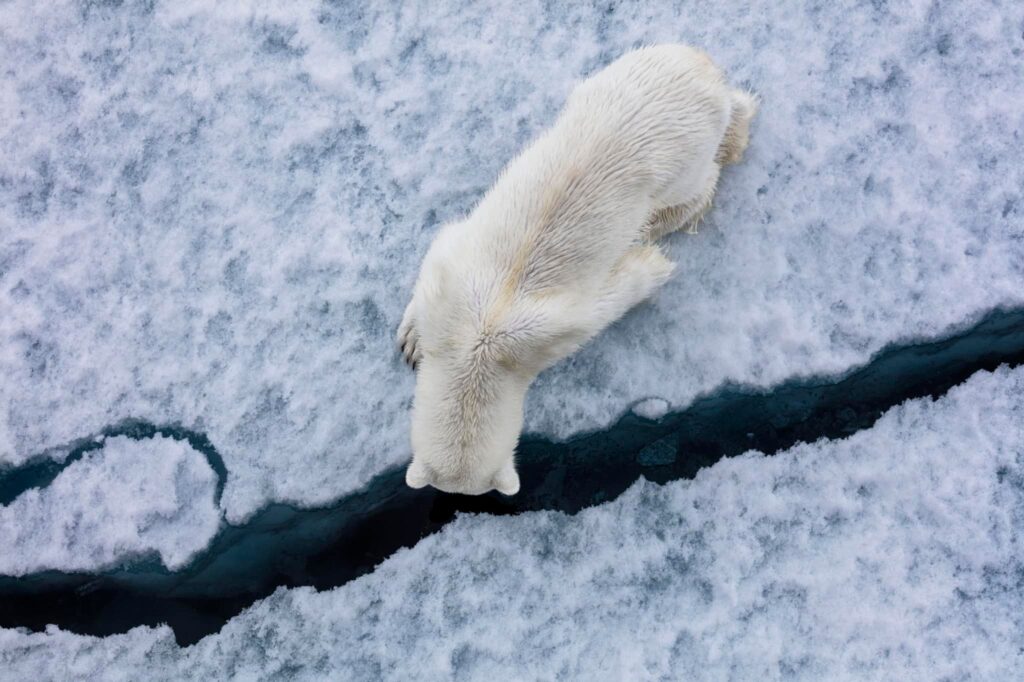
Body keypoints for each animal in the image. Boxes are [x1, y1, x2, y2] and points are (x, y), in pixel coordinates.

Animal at [398, 44, 757, 496]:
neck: (480, 343)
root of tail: (701, 66)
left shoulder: (556, 330)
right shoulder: (454, 281)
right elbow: (438, 251)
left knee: (696, 182)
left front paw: (650, 262)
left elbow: (618, 292)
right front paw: (411, 339)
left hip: (683, 155)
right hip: (613, 79)